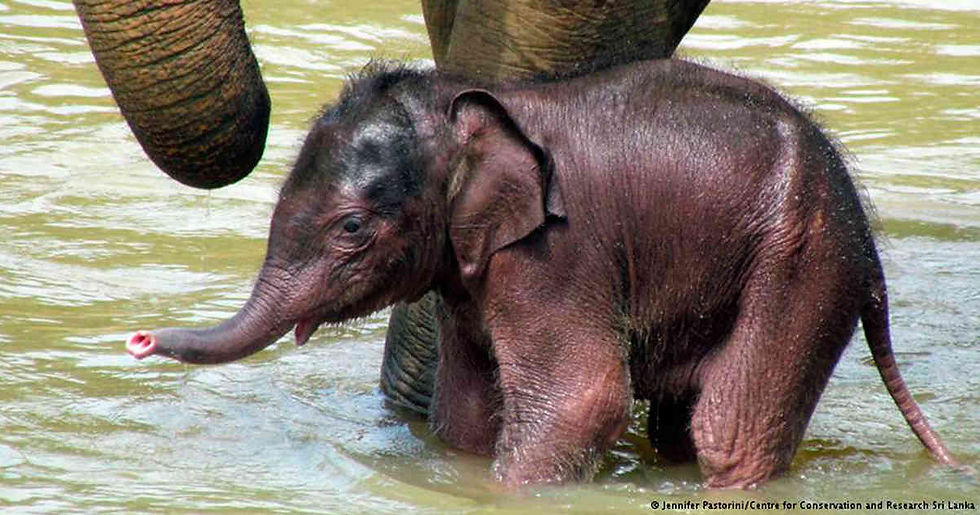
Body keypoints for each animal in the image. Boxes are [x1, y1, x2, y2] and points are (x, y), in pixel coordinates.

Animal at [124, 58, 958, 488]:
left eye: (352, 229)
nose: (136, 339)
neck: (467, 108)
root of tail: (868, 240)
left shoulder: (557, 253)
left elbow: (581, 400)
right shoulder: (472, 268)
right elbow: (464, 413)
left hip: (802, 264)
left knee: (727, 429)